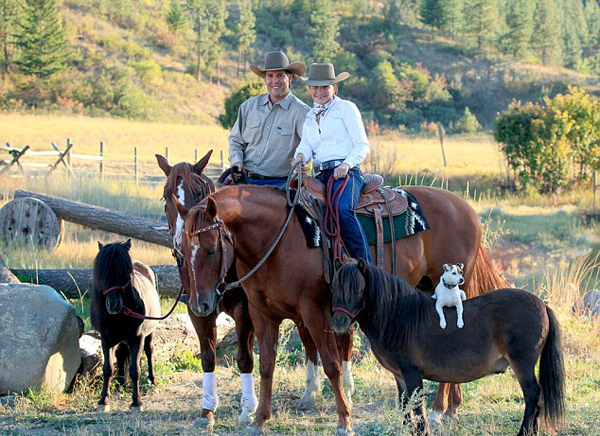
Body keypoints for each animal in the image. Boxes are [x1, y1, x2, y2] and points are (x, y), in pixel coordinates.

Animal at [90, 238, 161, 412]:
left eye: (127, 272)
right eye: (102, 272)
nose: (113, 305)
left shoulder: (137, 338)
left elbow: (135, 369)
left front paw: (136, 402)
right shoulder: (106, 338)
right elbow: (108, 369)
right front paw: (104, 400)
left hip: (149, 334)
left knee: (149, 352)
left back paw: (151, 380)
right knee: (121, 355)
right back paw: (121, 383)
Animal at [172, 184, 506, 436]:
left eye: (211, 250)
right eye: (181, 251)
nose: (200, 304)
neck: (278, 239)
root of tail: (464, 208)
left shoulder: (314, 310)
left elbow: (332, 364)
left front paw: (344, 421)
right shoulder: (261, 313)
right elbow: (266, 365)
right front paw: (258, 420)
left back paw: (436, 412)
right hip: (429, 289)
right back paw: (447, 409)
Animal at [330, 258, 564, 436]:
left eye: (357, 289)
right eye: (334, 288)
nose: (338, 323)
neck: (401, 316)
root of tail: (541, 304)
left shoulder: (412, 374)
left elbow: (419, 413)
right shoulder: (399, 376)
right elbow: (406, 409)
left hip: (522, 364)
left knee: (532, 396)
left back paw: (524, 432)